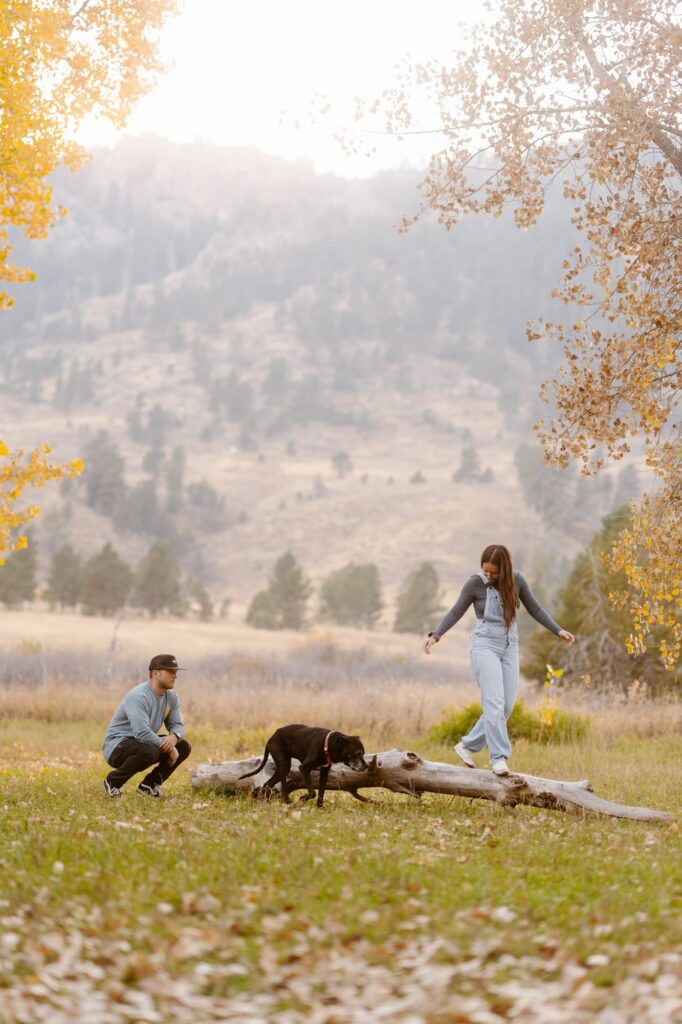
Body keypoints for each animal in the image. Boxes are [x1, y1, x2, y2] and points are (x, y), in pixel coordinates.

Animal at [237, 720, 366, 806]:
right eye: (358, 753)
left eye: (363, 753)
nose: (366, 766)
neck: (328, 744)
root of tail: (271, 738)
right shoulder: (304, 768)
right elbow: (312, 792)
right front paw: (303, 798)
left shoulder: (324, 771)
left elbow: (321, 792)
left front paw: (320, 808)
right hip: (282, 764)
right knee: (282, 786)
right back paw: (286, 801)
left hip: (284, 767)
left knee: (266, 784)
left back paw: (259, 799)